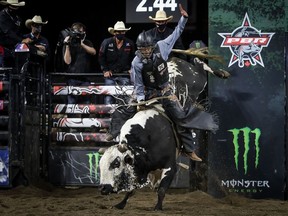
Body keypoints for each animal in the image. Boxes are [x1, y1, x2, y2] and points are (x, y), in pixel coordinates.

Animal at [98, 54, 230, 211]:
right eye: (100, 164)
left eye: (116, 164)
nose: (103, 188)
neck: (147, 139)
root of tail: (175, 60)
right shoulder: (140, 169)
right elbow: (132, 189)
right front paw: (121, 204)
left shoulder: (170, 166)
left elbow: (161, 189)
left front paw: (158, 207)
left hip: (198, 80)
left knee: (201, 66)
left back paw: (219, 71)